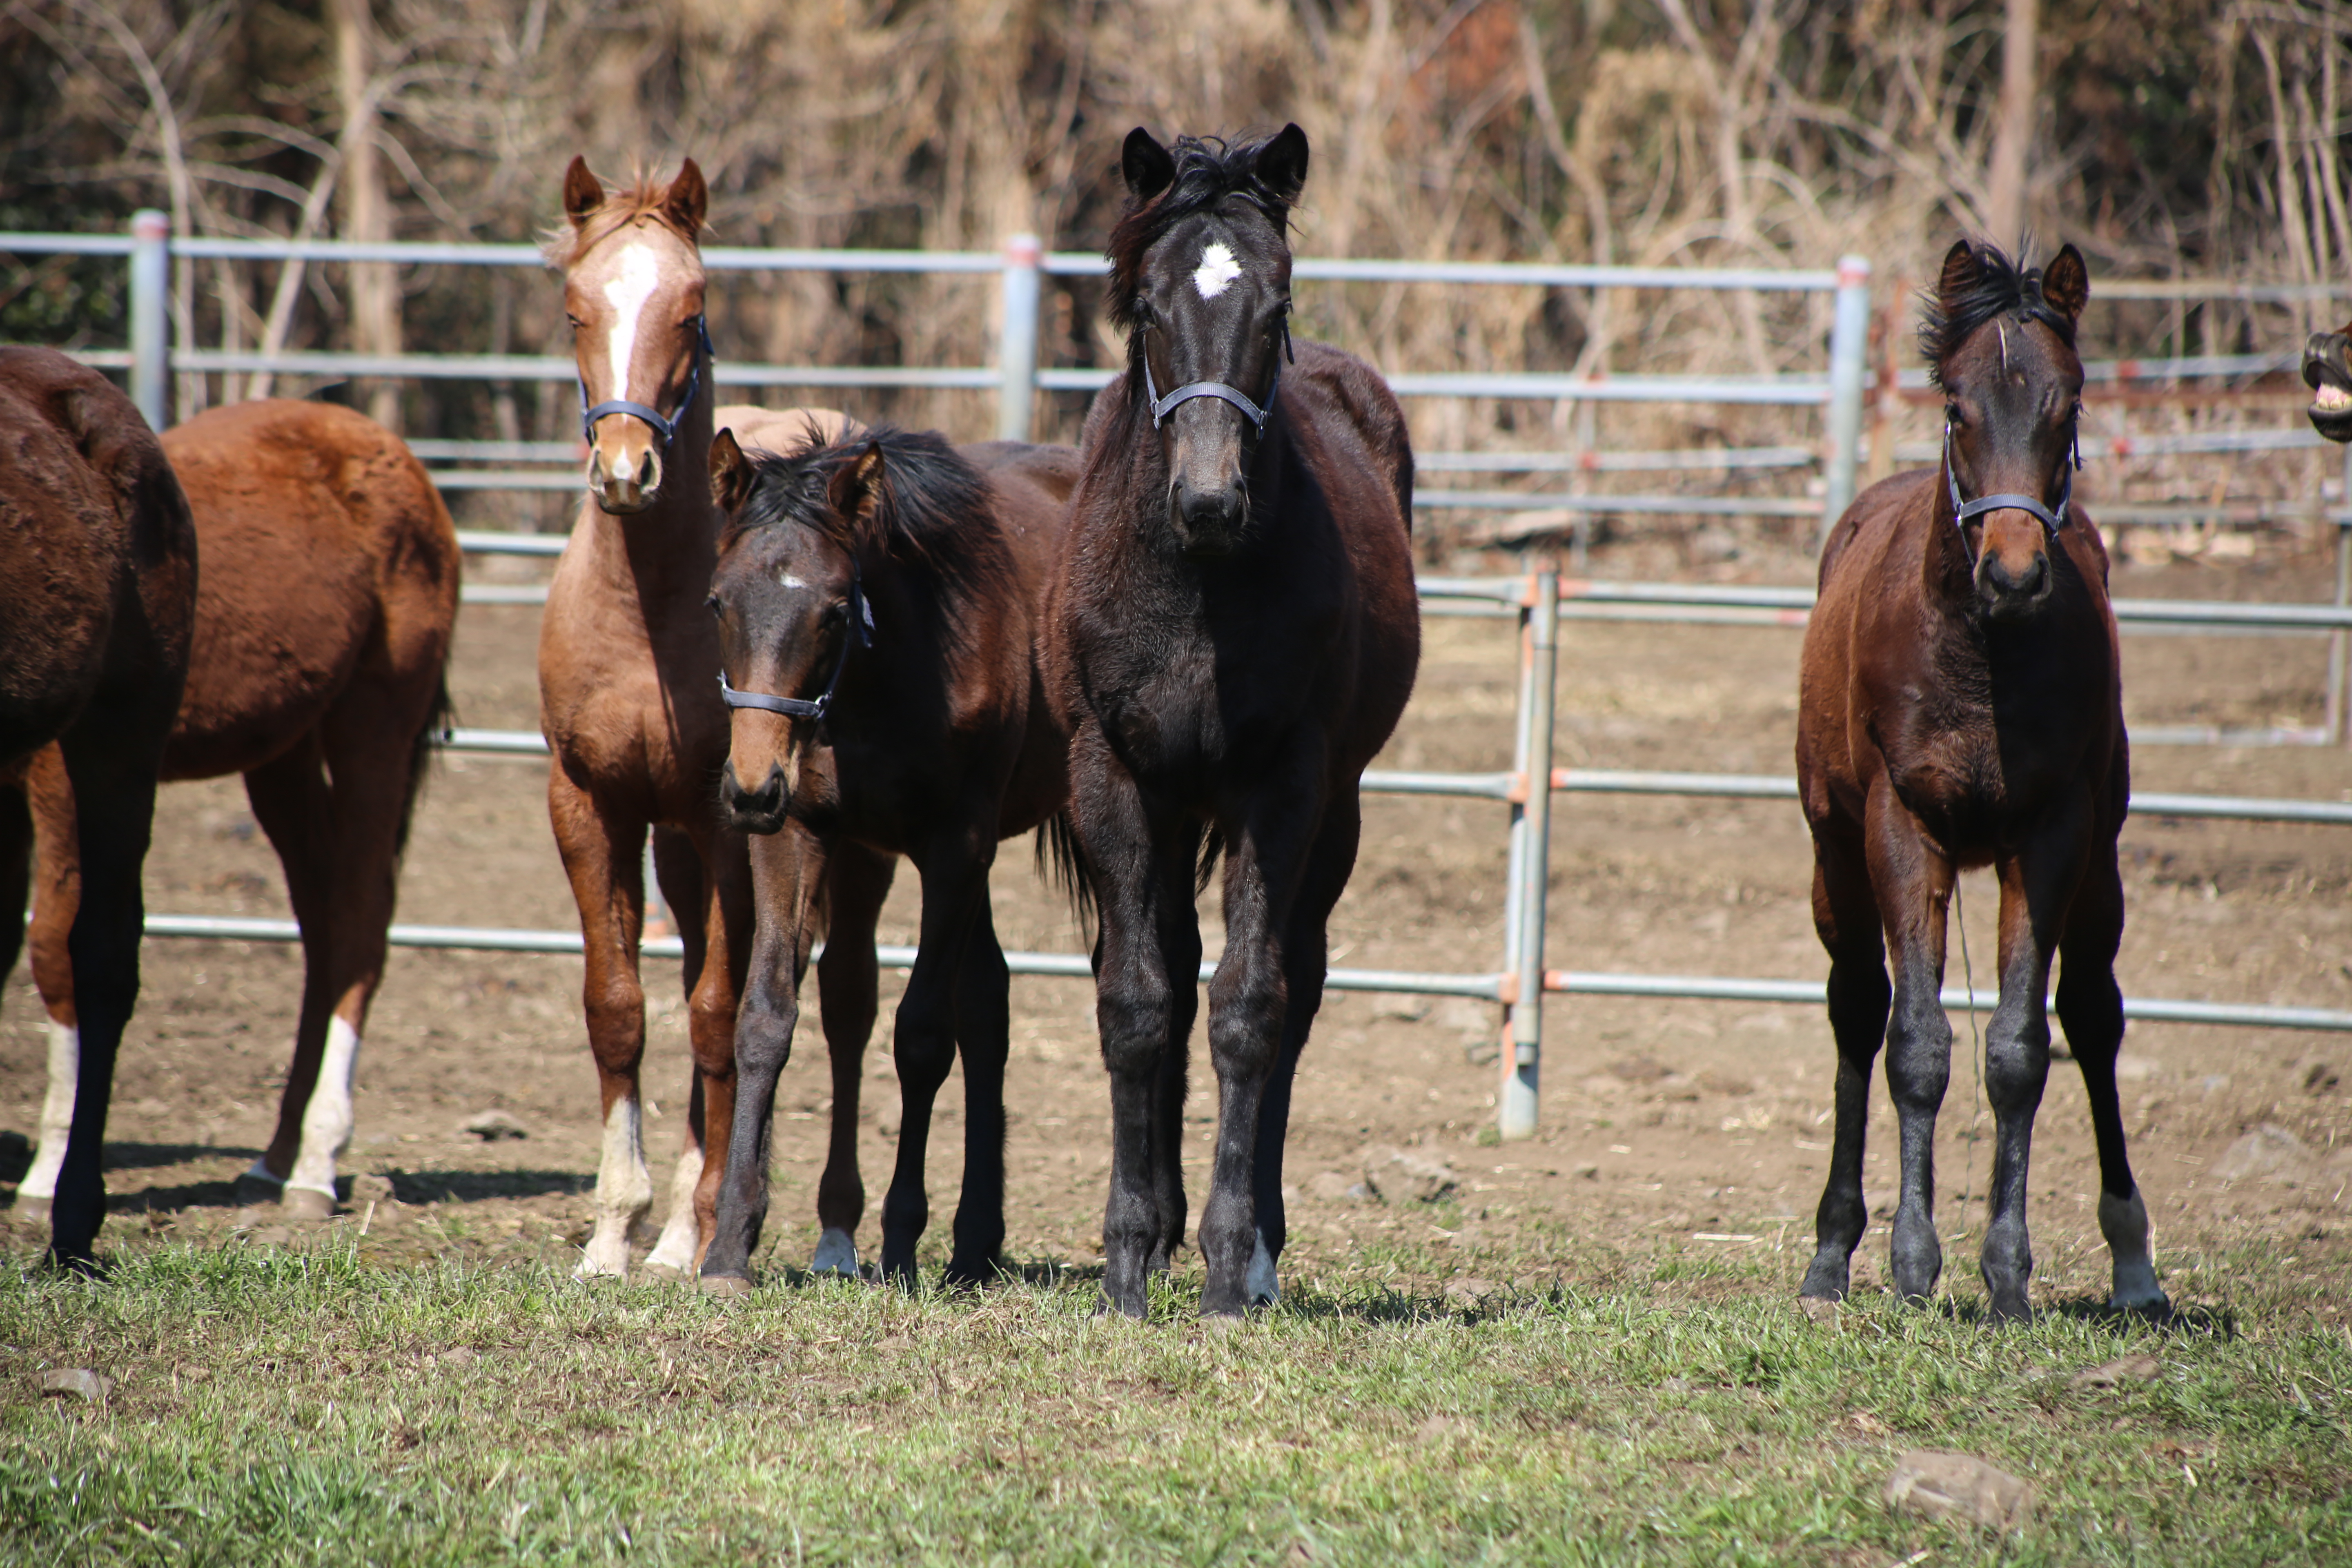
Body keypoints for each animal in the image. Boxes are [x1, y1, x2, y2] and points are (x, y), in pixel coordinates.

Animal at [15, 395, 459, 1222]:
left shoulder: (65, 773)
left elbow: (56, 949)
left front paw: (48, 1173)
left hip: (374, 723)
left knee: (358, 920)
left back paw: (315, 1164)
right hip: (284, 750)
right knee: (323, 928)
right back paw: (275, 1158)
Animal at [1049, 129, 1411, 1316]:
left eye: (1274, 299)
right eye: (1148, 304)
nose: (1209, 502)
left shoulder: (1284, 786)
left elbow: (1251, 1008)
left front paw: (1224, 1258)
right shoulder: (1112, 778)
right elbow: (1136, 1004)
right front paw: (1127, 1260)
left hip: (1335, 818)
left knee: (1295, 989)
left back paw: (1252, 1255)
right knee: (1171, 967)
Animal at [1797, 242, 2164, 1326]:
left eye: (2068, 404)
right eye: (1957, 406)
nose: (2010, 573)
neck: (1978, 656)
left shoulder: (2050, 836)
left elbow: (2017, 1048)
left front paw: (2005, 1277)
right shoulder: (1898, 825)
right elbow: (1915, 1045)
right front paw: (1911, 1265)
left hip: (2097, 873)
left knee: (2091, 1012)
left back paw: (2135, 1264)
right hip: (1834, 861)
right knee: (1854, 1009)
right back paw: (1829, 1256)